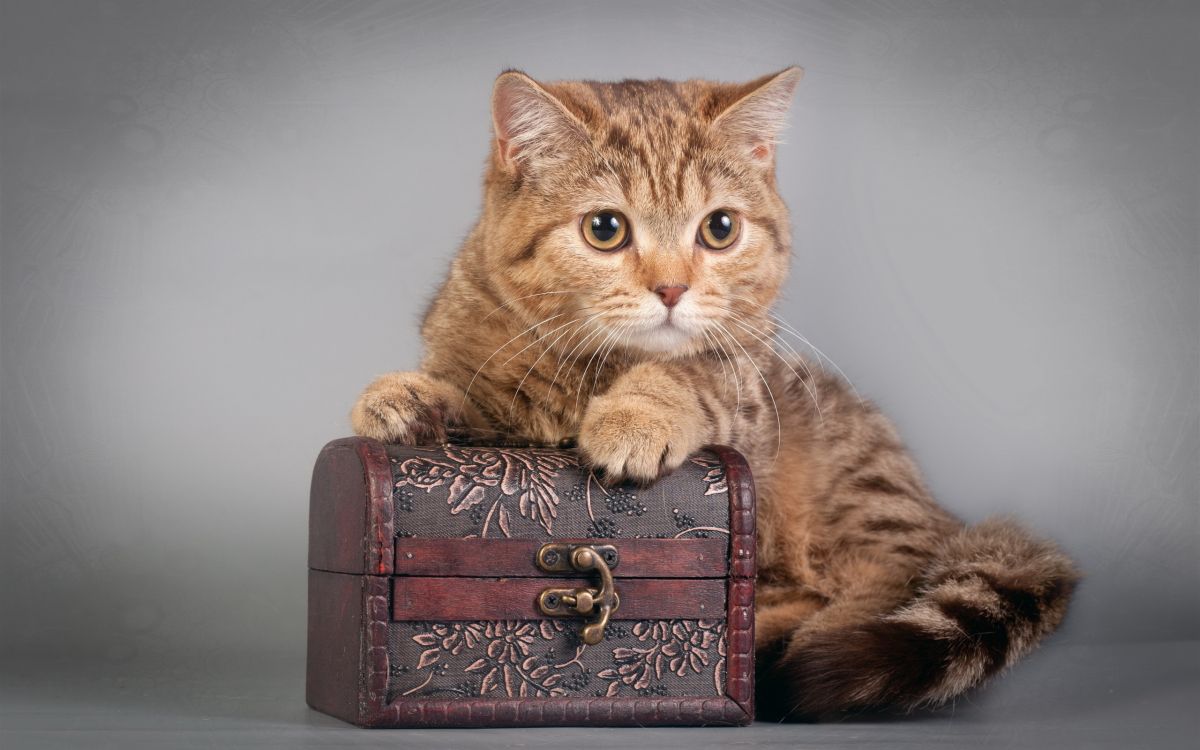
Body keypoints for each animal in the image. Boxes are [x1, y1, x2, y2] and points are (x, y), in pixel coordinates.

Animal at [348, 70, 1080, 720]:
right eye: (605, 229)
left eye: (719, 228)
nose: (672, 288)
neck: (591, 365)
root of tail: (939, 513)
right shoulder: (495, 393)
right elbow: (470, 391)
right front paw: (402, 396)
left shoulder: (745, 385)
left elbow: (686, 373)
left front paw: (633, 416)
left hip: (859, 498)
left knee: (877, 582)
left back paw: (774, 642)